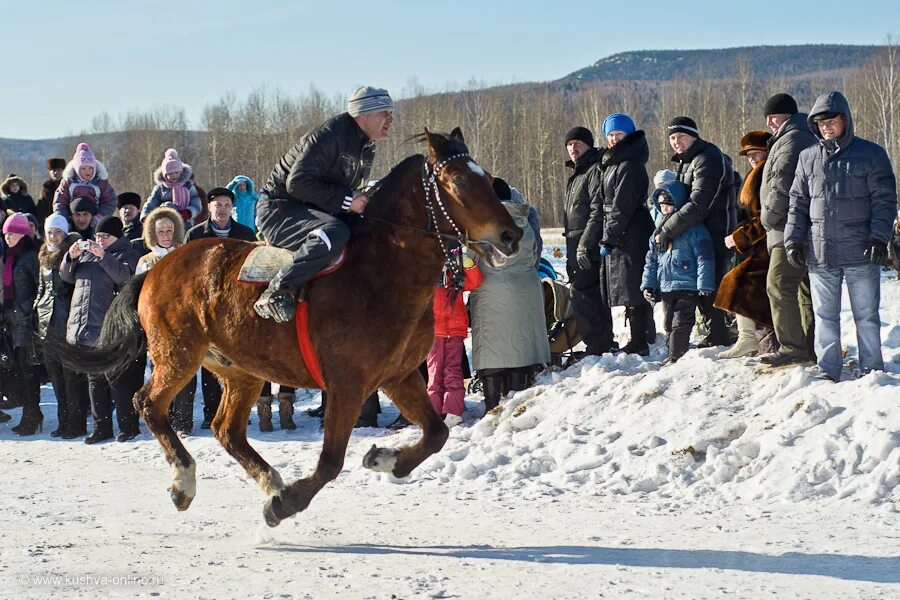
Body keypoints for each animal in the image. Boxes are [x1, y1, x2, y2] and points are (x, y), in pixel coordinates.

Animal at [52, 129, 520, 528]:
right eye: (458, 180)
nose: (511, 234)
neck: (381, 271)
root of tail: (156, 266)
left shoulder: (398, 375)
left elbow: (438, 433)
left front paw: (385, 460)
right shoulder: (348, 382)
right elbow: (331, 461)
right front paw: (287, 503)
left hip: (240, 370)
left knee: (226, 429)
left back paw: (269, 481)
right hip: (178, 355)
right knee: (148, 403)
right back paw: (187, 482)